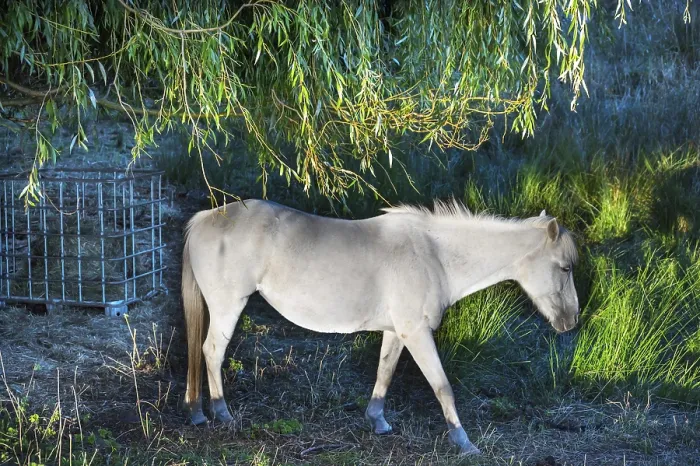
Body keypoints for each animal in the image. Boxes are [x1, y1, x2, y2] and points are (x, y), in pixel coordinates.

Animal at [181, 199, 579, 455]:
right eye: (565, 267)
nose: (571, 320)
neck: (435, 255)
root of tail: (206, 217)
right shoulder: (417, 333)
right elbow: (443, 388)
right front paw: (465, 443)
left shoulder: (397, 332)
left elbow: (384, 373)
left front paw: (378, 421)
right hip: (228, 307)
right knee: (212, 352)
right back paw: (222, 413)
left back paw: (198, 413)